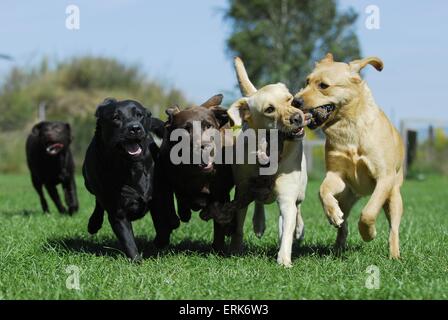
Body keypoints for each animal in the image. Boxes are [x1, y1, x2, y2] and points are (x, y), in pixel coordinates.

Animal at [83, 99, 176, 262]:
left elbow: (162, 227)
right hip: (88, 182)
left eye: (139, 115)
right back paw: (93, 223)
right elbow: (128, 242)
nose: (135, 128)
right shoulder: (118, 212)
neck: (131, 167)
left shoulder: (157, 199)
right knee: (97, 201)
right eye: (116, 117)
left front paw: (159, 242)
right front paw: (137, 261)